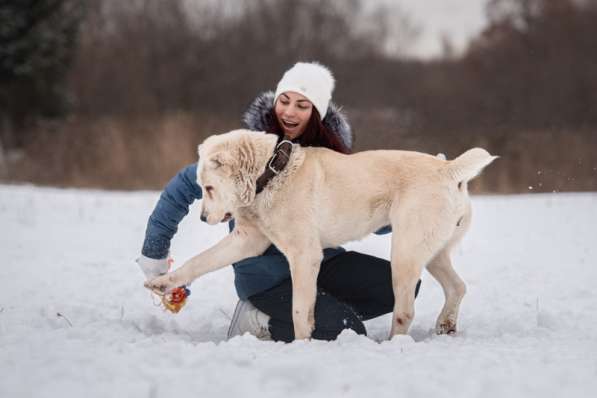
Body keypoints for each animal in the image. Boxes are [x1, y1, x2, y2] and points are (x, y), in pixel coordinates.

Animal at [146, 130, 498, 338]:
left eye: (208, 187)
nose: (204, 218)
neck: (271, 174)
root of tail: (448, 169)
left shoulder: (304, 256)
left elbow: (299, 310)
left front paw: (302, 344)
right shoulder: (249, 240)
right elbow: (200, 261)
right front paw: (163, 282)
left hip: (405, 253)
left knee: (406, 310)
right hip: (433, 251)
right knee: (457, 286)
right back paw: (445, 325)